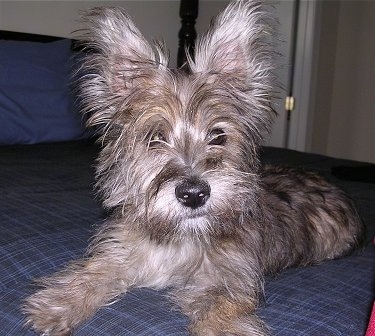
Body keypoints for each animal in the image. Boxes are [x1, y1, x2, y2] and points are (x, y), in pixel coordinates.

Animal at [23, 1, 364, 334]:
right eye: (156, 137)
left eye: (218, 135)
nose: (194, 194)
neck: (182, 237)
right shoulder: (121, 251)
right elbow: (96, 270)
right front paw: (59, 303)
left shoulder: (229, 279)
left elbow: (219, 313)